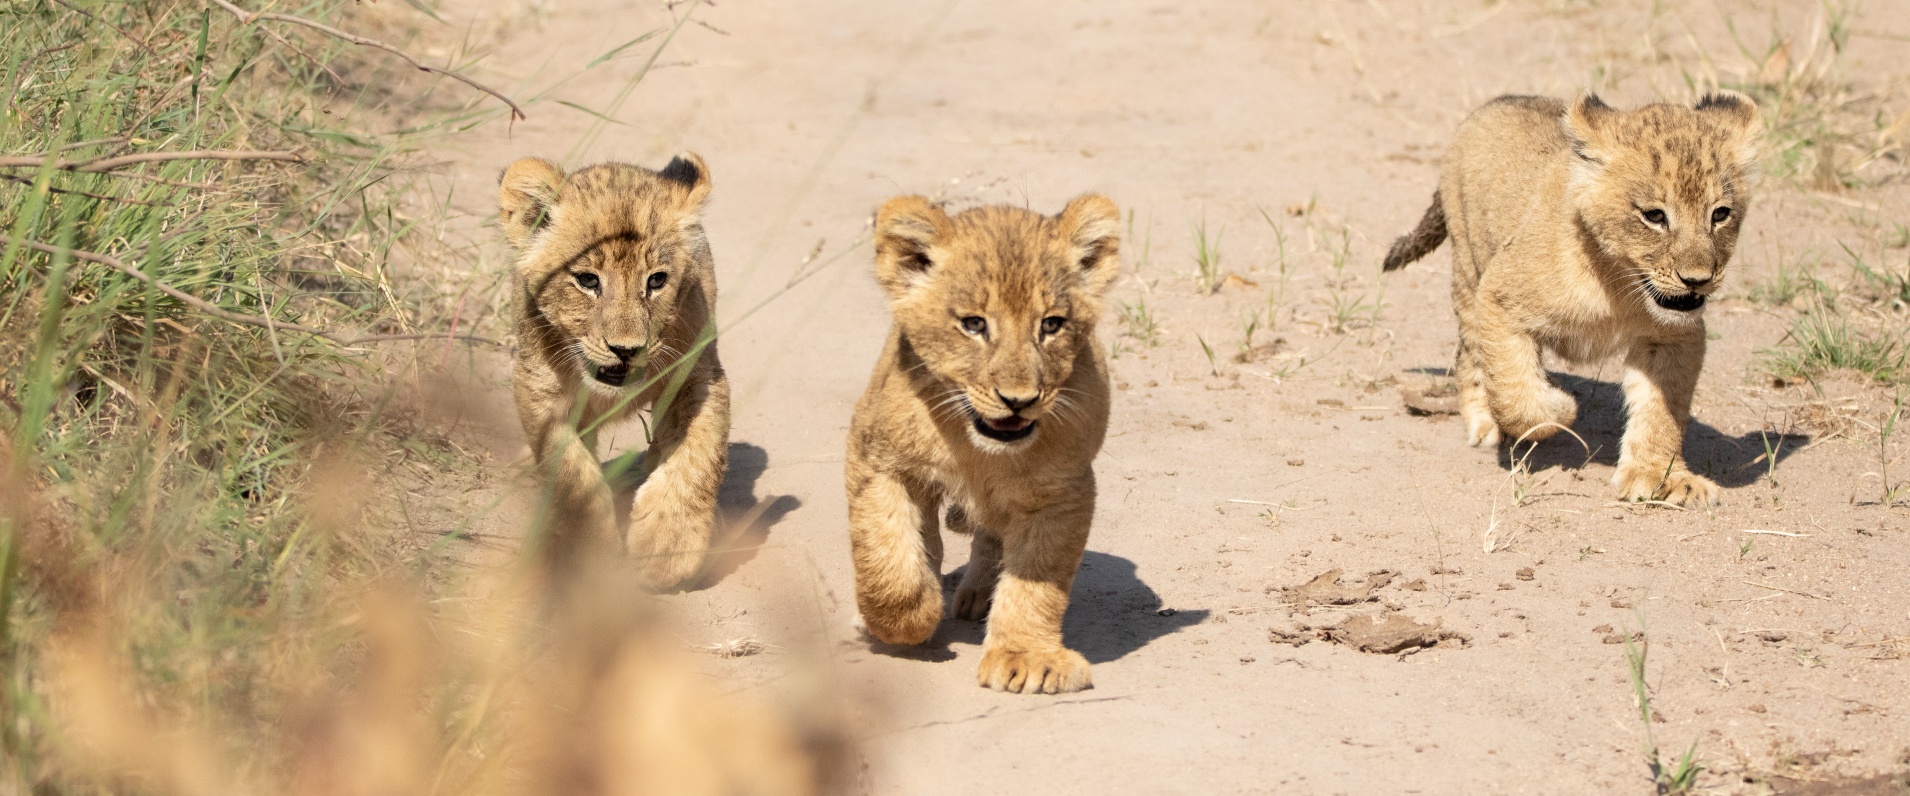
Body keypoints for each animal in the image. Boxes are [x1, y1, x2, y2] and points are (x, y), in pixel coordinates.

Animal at [497, 155, 730, 588]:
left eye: (656, 280)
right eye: (587, 280)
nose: (625, 350)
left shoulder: (700, 375)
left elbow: (698, 453)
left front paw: (667, 545)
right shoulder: (538, 394)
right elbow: (571, 476)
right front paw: (589, 555)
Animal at [845, 194, 1121, 694]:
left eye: (1052, 324)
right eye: (974, 324)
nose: (1019, 400)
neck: (977, 451)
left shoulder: (1062, 493)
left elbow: (1036, 580)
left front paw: (1027, 658)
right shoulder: (875, 457)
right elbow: (886, 555)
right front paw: (908, 619)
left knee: (991, 537)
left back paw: (977, 594)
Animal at [1382, 93, 1761, 507]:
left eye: (1720, 214)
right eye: (1654, 216)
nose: (1698, 280)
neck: (1620, 287)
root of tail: (1497, 101)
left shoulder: (1673, 337)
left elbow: (1662, 410)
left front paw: (1659, 478)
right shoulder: (1499, 296)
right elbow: (1515, 393)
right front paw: (1559, 409)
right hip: (1469, 270)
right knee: (1470, 355)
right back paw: (1483, 422)